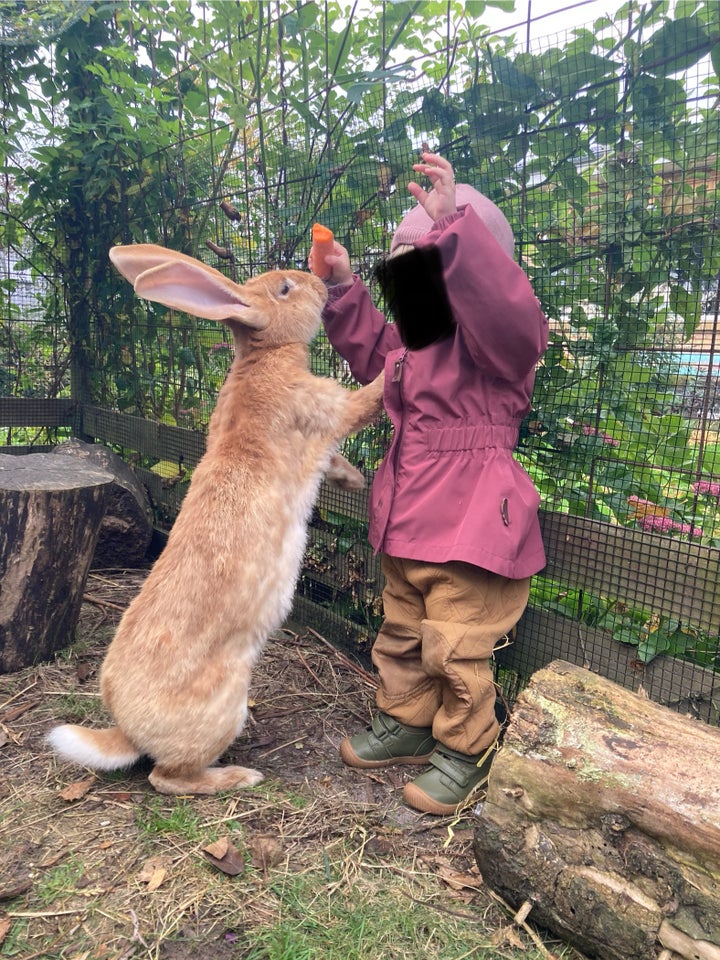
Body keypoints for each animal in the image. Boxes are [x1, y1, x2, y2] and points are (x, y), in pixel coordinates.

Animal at [47, 246, 386, 796]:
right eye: (285, 289)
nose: (319, 283)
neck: (264, 352)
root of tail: (127, 732)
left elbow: (332, 461)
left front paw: (353, 480)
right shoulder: (323, 407)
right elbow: (364, 402)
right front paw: (402, 363)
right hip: (223, 709)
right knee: (167, 779)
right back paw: (239, 776)